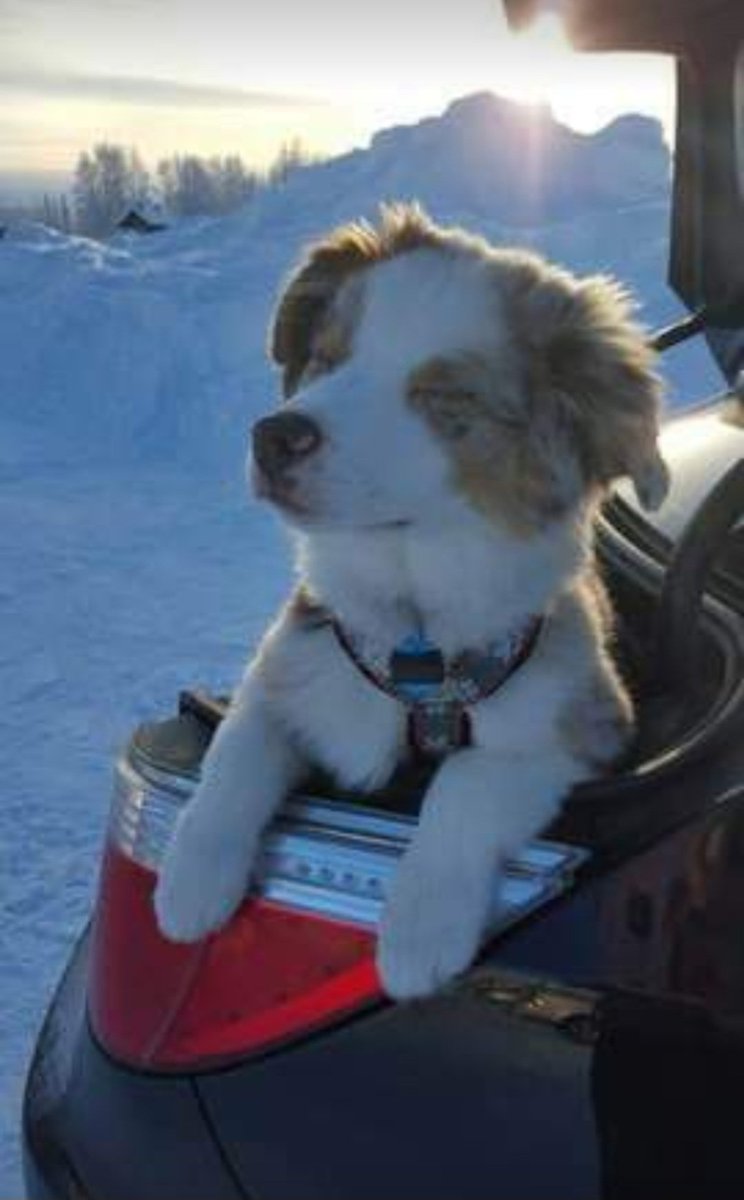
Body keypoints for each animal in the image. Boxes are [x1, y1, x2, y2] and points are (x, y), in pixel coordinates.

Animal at [152, 206, 667, 1003]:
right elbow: (235, 750)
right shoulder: (289, 667)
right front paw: (192, 878)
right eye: (327, 358)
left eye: (444, 396)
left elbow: (466, 780)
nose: (272, 436)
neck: (414, 634)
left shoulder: (587, 731)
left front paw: (421, 929)